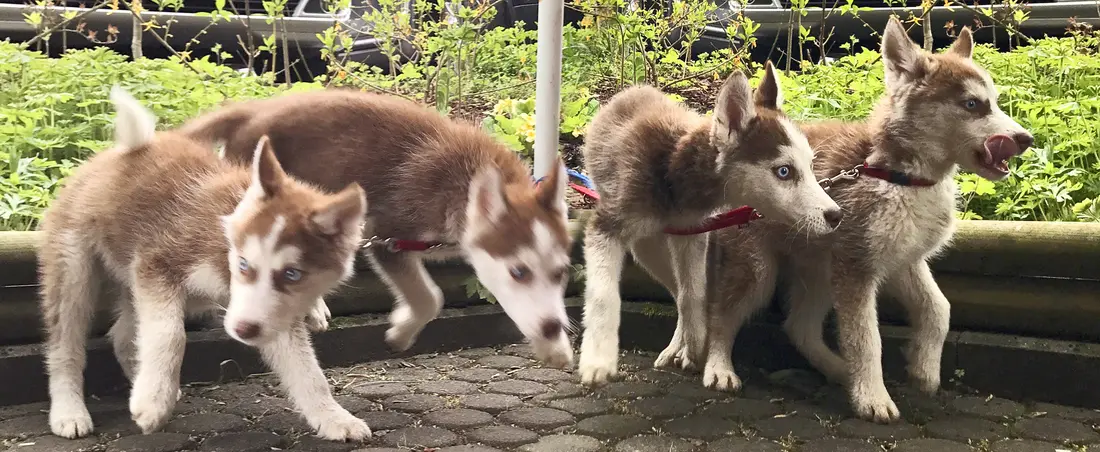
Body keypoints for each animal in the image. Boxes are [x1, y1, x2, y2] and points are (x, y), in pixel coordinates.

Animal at [40, 87, 371, 442]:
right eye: (243, 264)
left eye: (293, 274)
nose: (243, 331)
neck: (222, 247)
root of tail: (120, 152)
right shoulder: (158, 263)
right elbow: (171, 334)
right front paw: (153, 403)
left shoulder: (270, 314)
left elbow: (307, 371)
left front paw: (334, 417)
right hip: (74, 268)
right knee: (65, 345)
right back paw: (70, 410)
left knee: (122, 335)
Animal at [178, 90, 576, 369]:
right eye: (518, 272)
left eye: (561, 273)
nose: (555, 329)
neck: (464, 182)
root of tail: (254, 109)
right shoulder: (389, 238)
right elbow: (430, 298)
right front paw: (402, 331)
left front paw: (554, 347)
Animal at [576, 62, 840, 384]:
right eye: (784, 171)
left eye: (811, 166)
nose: (836, 215)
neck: (671, 169)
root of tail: (634, 89)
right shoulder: (606, 227)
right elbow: (604, 296)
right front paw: (598, 360)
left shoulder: (694, 233)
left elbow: (693, 293)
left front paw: (696, 343)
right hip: (647, 248)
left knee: (679, 291)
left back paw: (680, 347)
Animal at [704, 15, 1029, 424]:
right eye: (973, 104)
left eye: (995, 101)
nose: (1026, 139)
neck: (899, 176)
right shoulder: (857, 270)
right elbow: (866, 340)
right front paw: (872, 397)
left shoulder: (903, 261)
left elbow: (938, 310)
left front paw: (924, 368)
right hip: (760, 271)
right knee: (722, 314)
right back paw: (719, 367)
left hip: (819, 270)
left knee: (799, 327)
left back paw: (840, 371)